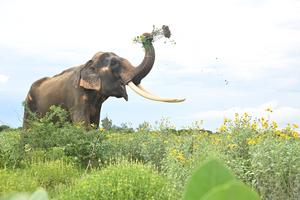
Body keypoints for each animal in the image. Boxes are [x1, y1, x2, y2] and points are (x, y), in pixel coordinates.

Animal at [22, 32, 184, 129]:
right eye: (114, 64)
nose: (146, 35)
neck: (88, 63)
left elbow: (94, 124)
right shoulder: (76, 95)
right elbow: (82, 125)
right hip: (29, 104)